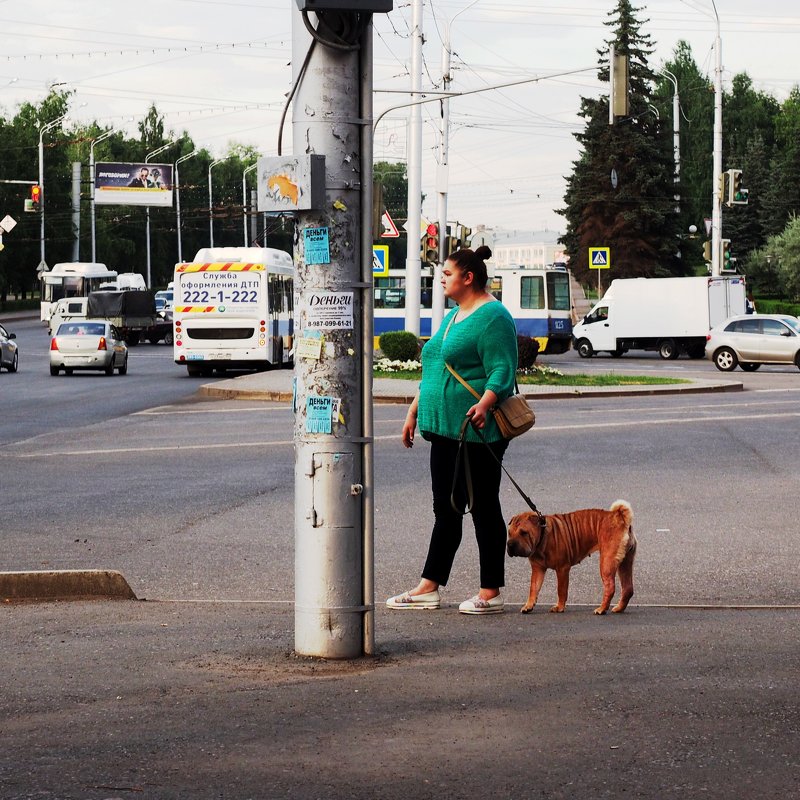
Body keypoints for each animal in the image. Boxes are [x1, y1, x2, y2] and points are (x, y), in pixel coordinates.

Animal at [506, 500, 636, 620]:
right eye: (509, 533)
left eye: (524, 532)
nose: (510, 544)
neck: (542, 537)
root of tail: (619, 517)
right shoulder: (538, 569)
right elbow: (533, 588)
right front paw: (528, 606)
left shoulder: (562, 569)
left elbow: (561, 590)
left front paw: (559, 607)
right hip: (625, 563)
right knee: (627, 587)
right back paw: (619, 608)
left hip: (606, 562)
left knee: (610, 587)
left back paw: (601, 609)